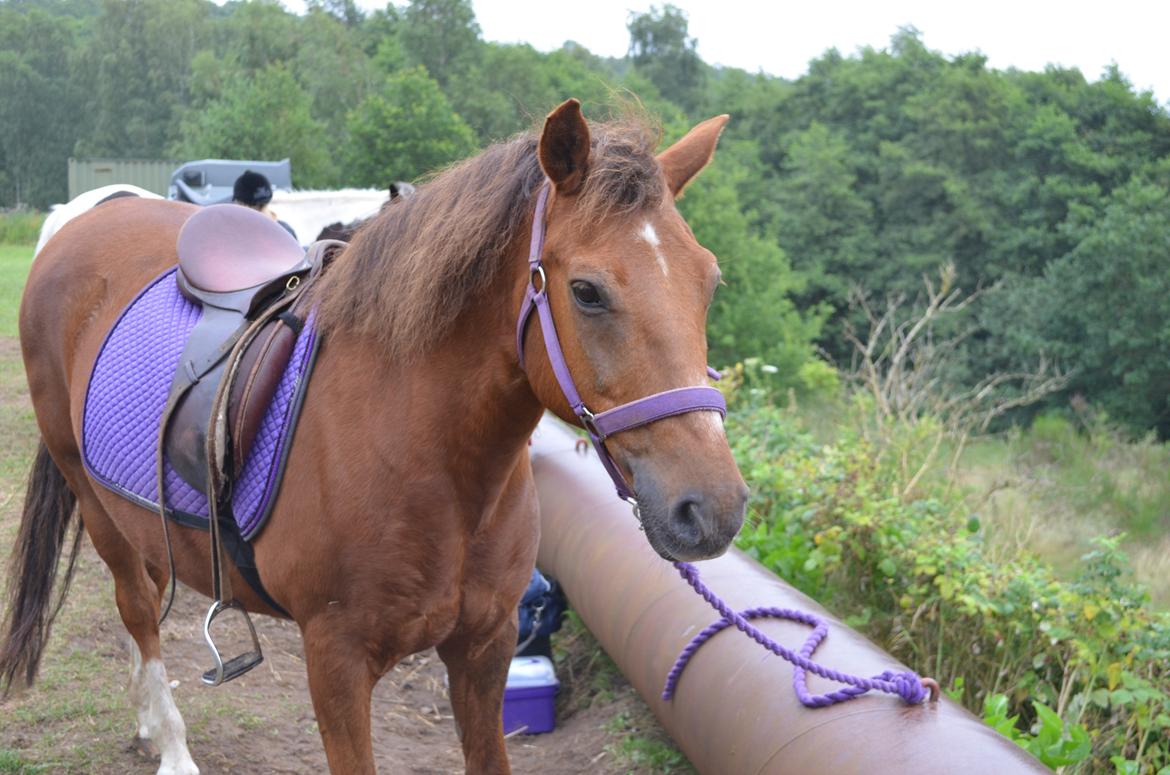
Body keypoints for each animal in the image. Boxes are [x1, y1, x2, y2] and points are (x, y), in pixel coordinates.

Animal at [0, 100, 744, 772]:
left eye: (710, 283)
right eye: (587, 291)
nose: (713, 507)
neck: (427, 455)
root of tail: (87, 218)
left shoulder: (485, 649)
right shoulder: (336, 663)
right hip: (91, 498)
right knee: (136, 605)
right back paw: (174, 747)